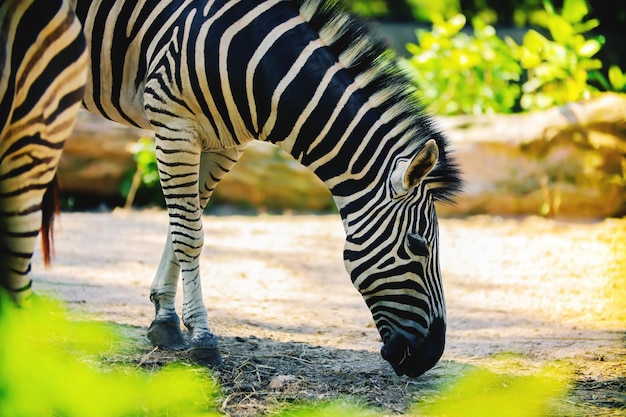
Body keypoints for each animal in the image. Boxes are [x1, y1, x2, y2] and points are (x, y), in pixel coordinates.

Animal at [75, 0, 460, 376]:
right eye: (418, 246)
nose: (431, 356)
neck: (263, 65)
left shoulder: (224, 143)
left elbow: (182, 224)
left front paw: (165, 320)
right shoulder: (174, 125)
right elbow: (190, 236)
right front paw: (202, 337)